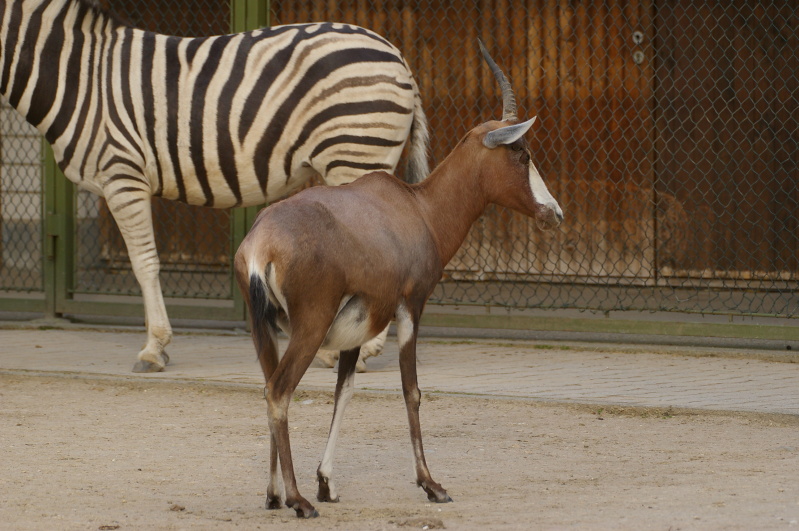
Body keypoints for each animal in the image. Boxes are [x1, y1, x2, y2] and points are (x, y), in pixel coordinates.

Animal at [1, 0, 432, 372]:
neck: (81, 76)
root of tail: (395, 53)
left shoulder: (122, 173)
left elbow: (145, 263)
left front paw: (154, 347)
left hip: (355, 153)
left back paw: (360, 351)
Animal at [234, 42, 564, 520]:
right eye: (523, 155)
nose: (554, 213)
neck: (417, 208)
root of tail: (261, 242)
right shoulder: (411, 308)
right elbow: (412, 391)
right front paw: (431, 485)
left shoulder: (355, 333)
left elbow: (345, 391)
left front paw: (327, 482)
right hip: (309, 329)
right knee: (279, 391)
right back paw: (298, 501)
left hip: (264, 330)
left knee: (266, 386)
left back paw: (275, 495)